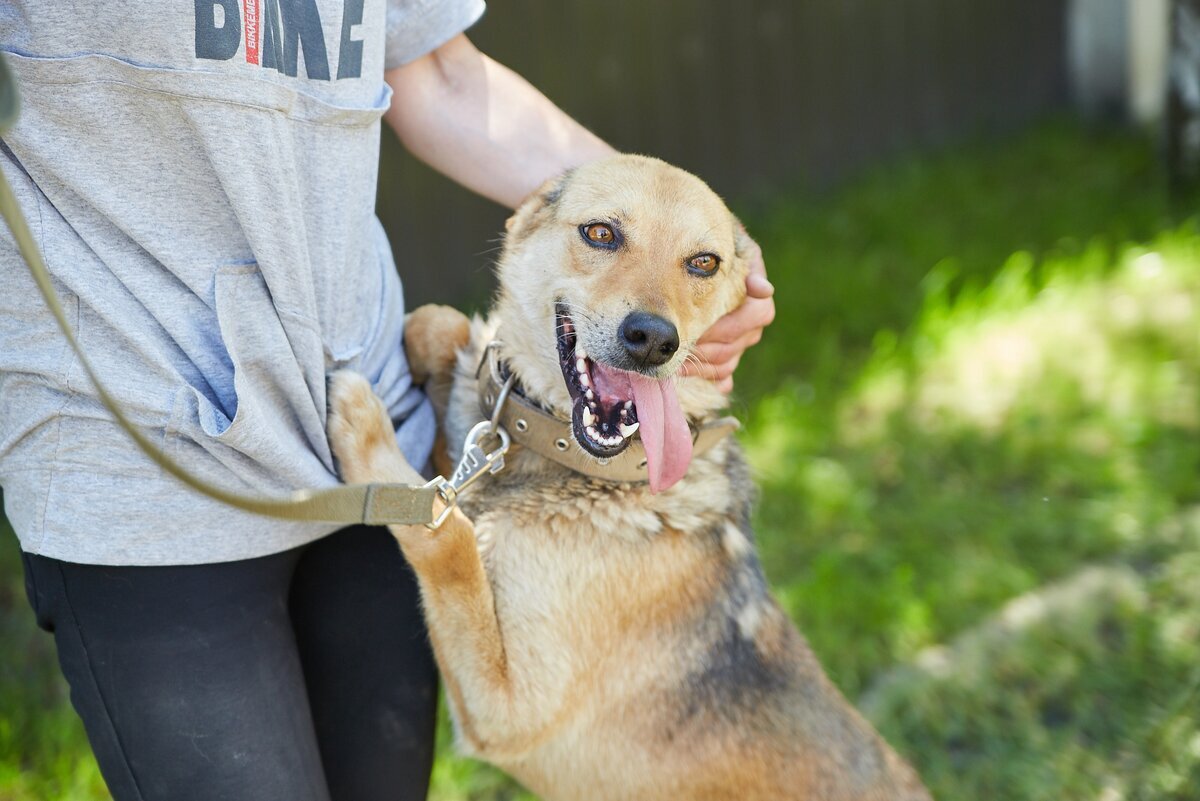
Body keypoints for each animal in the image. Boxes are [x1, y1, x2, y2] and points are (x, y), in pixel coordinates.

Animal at [326, 155, 926, 801]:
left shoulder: (506, 712)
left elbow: (446, 532)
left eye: (704, 262)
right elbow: (444, 334)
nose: (655, 340)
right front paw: (439, 344)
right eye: (601, 233)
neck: (595, 472)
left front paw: (366, 428)